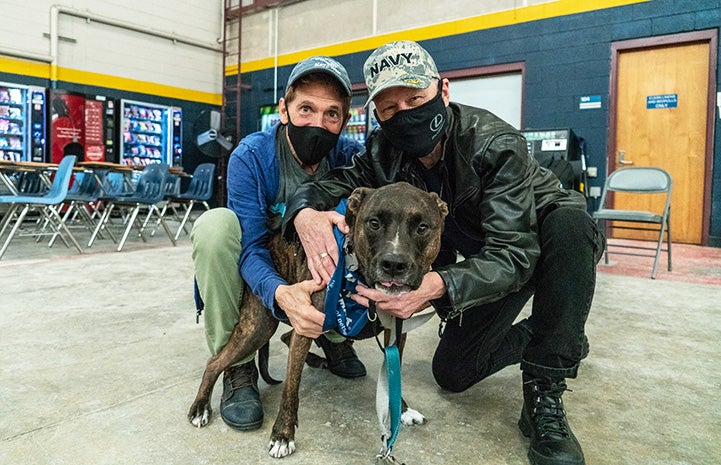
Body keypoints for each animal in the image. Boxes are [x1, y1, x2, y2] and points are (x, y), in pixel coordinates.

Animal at [187, 181, 444, 456]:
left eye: (422, 227)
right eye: (374, 223)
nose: (394, 264)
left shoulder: (396, 332)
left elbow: (394, 375)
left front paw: (402, 410)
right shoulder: (304, 320)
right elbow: (291, 387)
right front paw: (282, 434)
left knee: (287, 337)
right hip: (259, 326)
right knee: (215, 361)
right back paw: (200, 407)